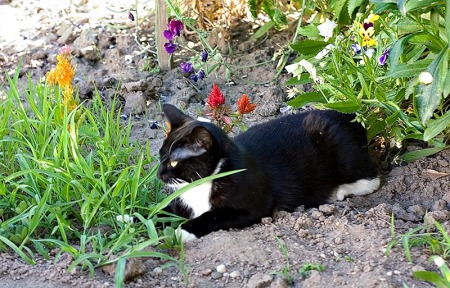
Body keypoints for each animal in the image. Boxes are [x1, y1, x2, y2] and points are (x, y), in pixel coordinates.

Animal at [158, 103, 380, 241]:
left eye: (175, 162)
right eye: (160, 155)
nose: (159, 174)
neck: (203, 184)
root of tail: (351, 116)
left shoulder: (252, 207)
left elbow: (212, 216)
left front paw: (182, 232)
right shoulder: (181, 201)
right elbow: (162, 210)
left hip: (342, 150)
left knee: (372, 176)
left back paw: (340, 191)